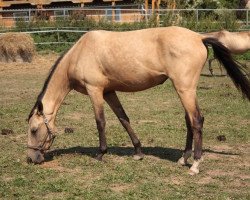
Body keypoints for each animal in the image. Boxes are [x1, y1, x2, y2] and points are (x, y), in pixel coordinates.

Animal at [26, 25, 249, 174]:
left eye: (34, 130)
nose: (32, 158)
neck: (80, 52)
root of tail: (199, 37)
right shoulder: (109, 92)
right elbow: (124, 119)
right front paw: (138, 151)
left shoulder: (95, 90)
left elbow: (100, 122)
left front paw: (100, 153)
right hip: (184, 90)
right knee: (189, 121)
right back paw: (183, 159)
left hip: (185, 89)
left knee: (197, 121)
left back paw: (194, 165)